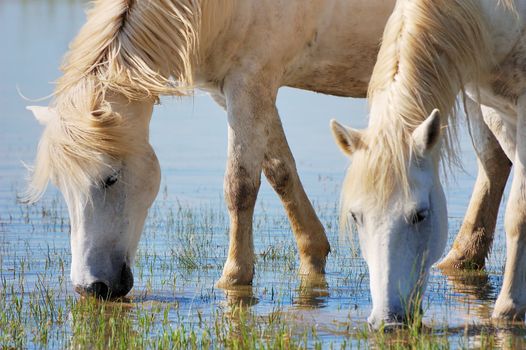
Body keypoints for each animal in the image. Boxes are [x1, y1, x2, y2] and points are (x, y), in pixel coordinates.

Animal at [25, 0, 508, 300]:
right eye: (63, 189)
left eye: (110, 177)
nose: (92, 288)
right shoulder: (238, 92)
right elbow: (278, 170)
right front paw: (313, 254)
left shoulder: (250, 83)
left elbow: (240, 185)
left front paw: (233, 279)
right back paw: (462, 260)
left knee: (495, 160)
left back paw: (462, 259)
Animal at [332, 0, 524, 328]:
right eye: (356, 216)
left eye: (420, 215)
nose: (387, 321)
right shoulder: (496, 109)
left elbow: (517, 213)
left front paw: (509, 308)